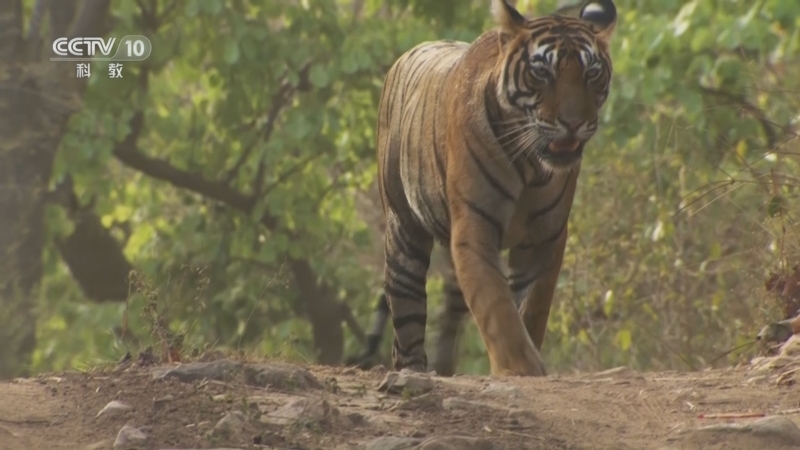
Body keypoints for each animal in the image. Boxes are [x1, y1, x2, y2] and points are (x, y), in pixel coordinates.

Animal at [350, 0, 617, 377]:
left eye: (591, 73)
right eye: (542, 72)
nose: (574, 122)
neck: (531, 164)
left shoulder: (547, 237)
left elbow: (531, 307)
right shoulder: (475, 230)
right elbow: (496, 307)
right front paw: (520, 368)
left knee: (450, 313)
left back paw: (445, 367)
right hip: (403, 230)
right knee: (407, 310)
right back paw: (414, 369)